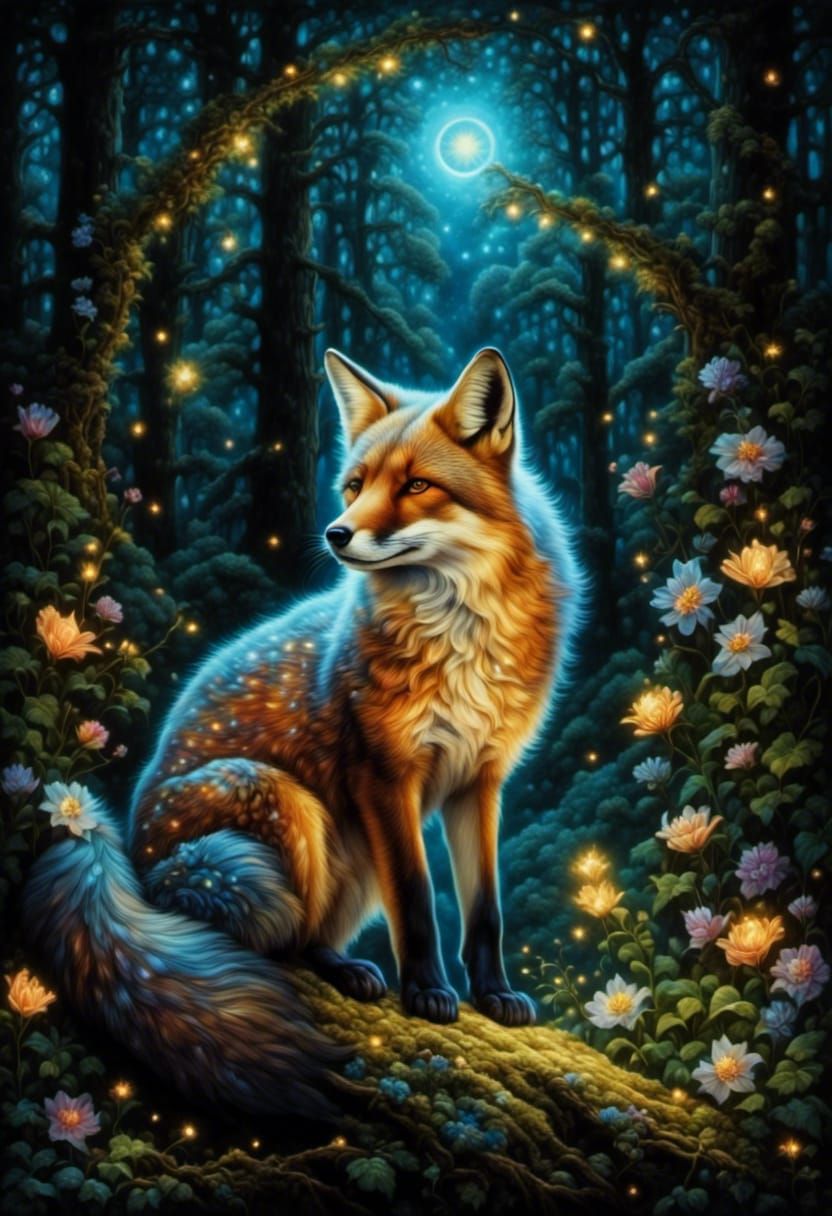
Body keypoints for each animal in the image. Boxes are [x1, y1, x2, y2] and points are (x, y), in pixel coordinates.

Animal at [23, 346, 582, 1118]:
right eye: (354, 486)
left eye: (417, 485)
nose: (337, 533)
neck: (460, 637)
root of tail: (129, 865)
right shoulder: (384, 775)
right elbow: (417, 902)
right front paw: (428, 992)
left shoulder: (481, 781)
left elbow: (485, 912)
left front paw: (493, 994)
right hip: (283, 803)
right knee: (277, 945)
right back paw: (340, 971)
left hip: (347, 852)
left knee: (307, 935)